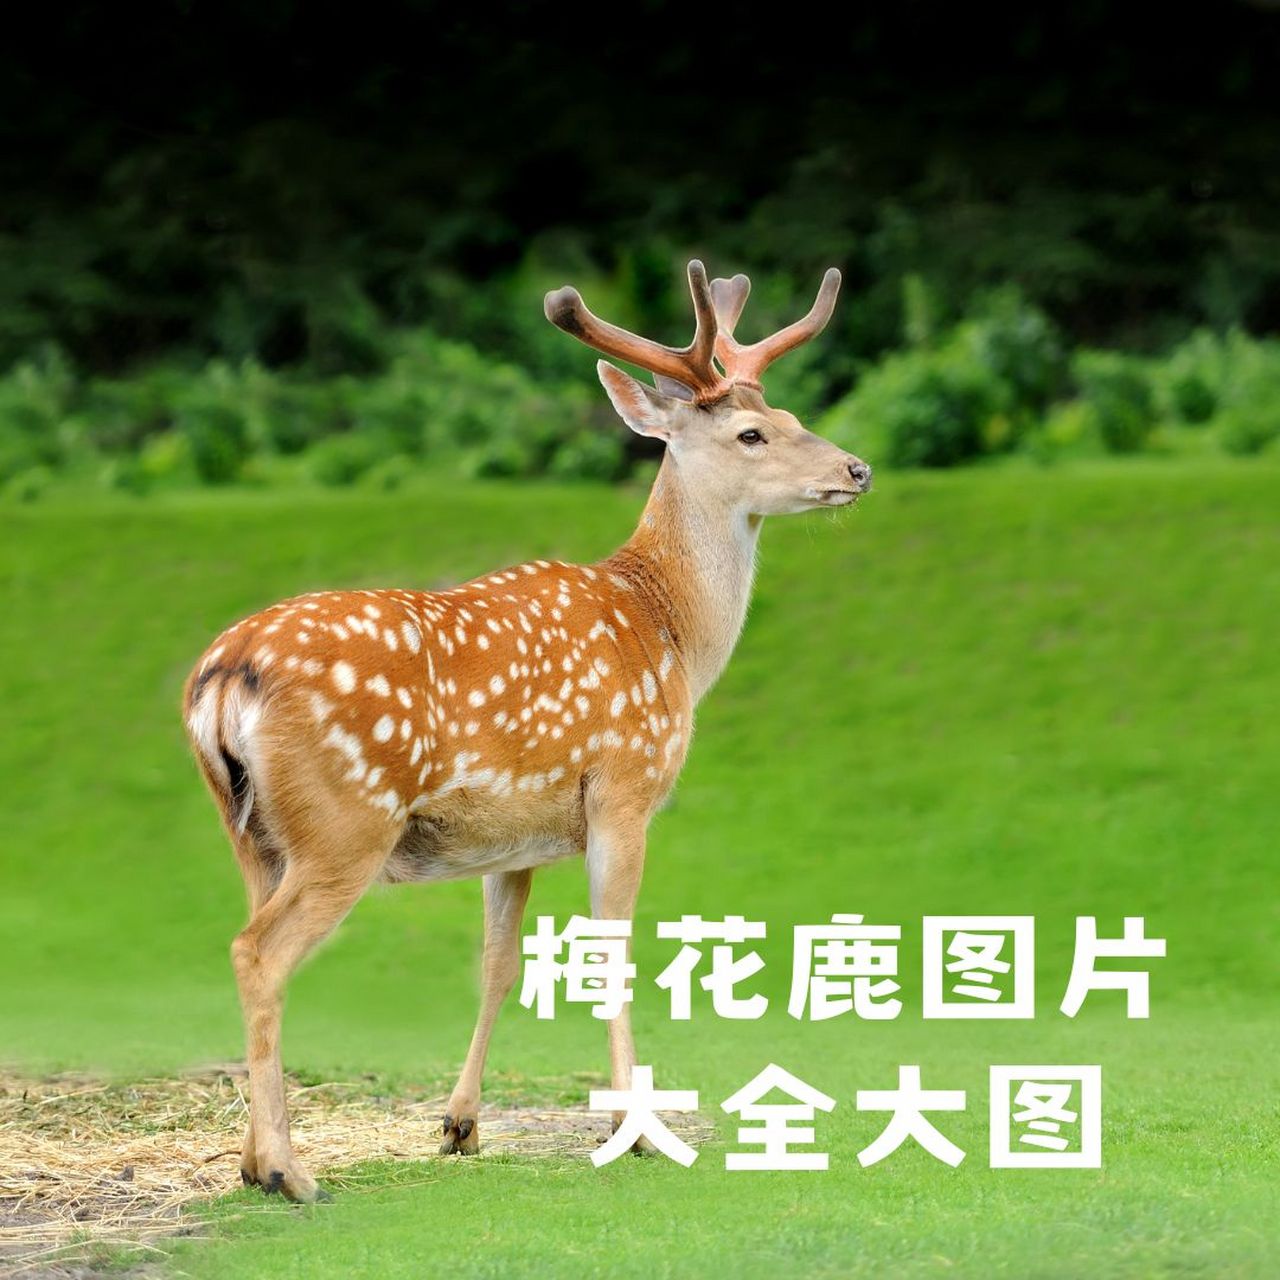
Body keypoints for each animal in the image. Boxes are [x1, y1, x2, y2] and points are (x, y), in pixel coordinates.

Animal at [183, 260, 872, 1201]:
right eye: (752, 434)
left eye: (795, 417)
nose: (857, 467)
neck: (669, 631)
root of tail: (223, 679)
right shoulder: (623, 786)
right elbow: (612, 954)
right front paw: (633, 1128)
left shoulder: (514, 837)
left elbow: (499, 963)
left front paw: (461, 1124)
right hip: (345, 819)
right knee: (259, 953)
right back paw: (290, 1171)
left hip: (252, 832)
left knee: (253, 943)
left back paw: (255, 1163)